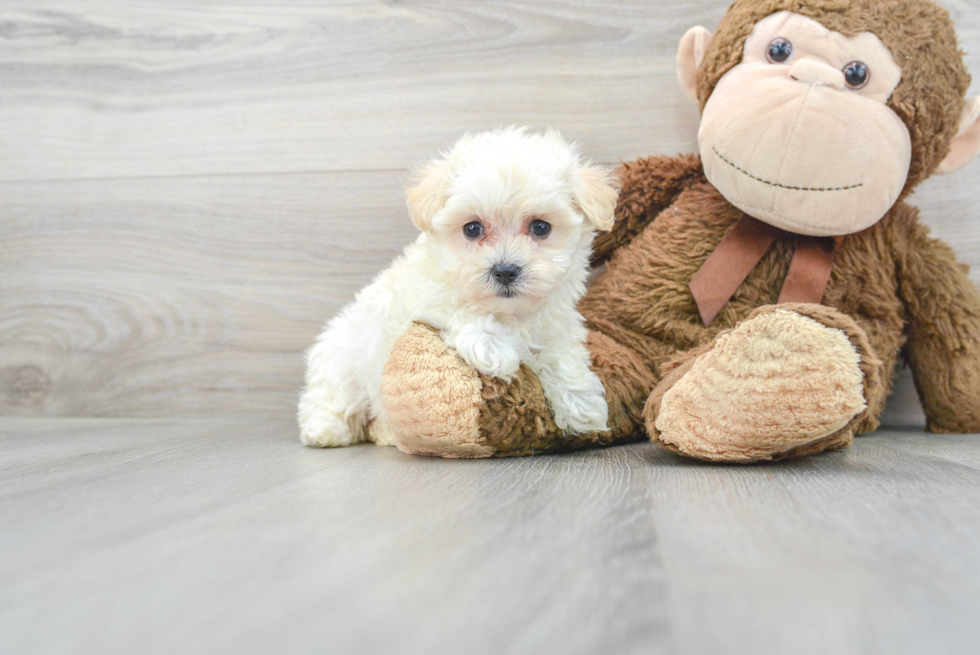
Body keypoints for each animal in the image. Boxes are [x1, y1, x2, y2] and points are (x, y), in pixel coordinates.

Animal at [300, 125, 620, 448]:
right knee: (332, 397)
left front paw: (582, 404)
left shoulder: (556, 325)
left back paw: (385, 433)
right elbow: (460, 308)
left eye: (541, 227)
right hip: (342, 357)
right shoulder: (423, 297)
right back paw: (325, 430)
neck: (509, 314)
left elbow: (561, 356)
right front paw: (493, 347)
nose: (505, 271)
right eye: (472, 228)